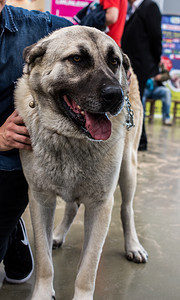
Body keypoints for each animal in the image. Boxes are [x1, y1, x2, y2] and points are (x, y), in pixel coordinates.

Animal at [14, 26, 148, 300]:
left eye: (114, 62)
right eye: (77, 59)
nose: (116, 95)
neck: (69, 137)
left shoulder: (101, 205)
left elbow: (88, 269)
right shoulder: (40, 199)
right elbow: (44, 260)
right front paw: (43, 292)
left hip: (128, 169)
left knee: (127, 208)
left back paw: (133, 245)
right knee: (72, 207)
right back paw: (57, 235)